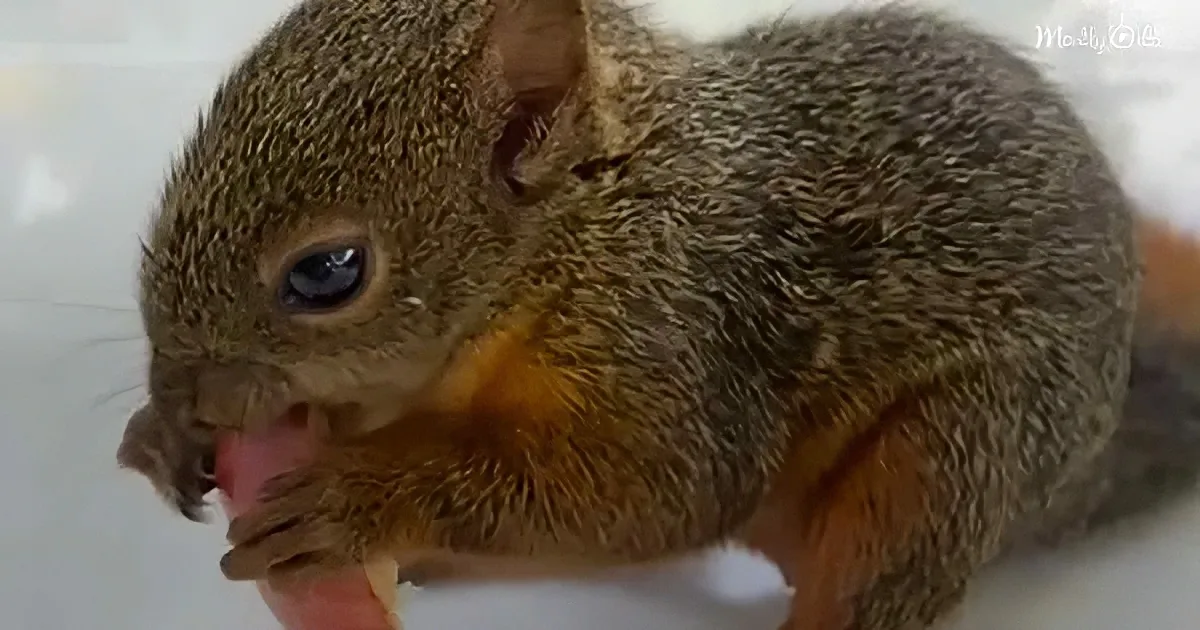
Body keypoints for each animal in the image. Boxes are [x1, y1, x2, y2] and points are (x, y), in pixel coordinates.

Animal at [113, 1, 1200, 628]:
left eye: (327, 273)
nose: (187, 388)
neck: (573, 243)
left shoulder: (679, 325)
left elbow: (663, 490)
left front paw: (357, 500)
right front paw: (162, 433)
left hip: (959, 449)